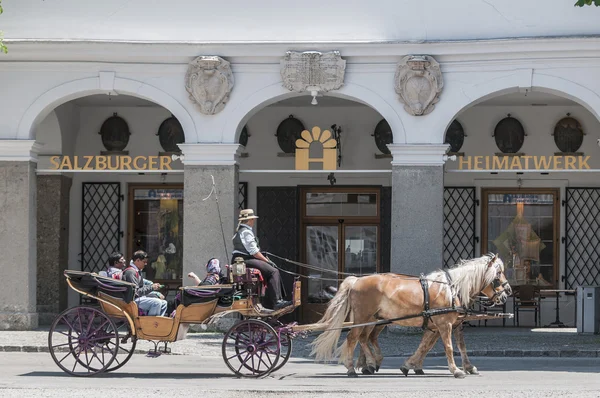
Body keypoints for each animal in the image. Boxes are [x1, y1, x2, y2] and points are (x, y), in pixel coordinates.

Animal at [310, 253, 510, 378]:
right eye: (498, 274)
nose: (507, 291)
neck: (452, 289)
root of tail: (356, 280)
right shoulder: (444, 325)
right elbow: (449, 347)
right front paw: (456, 370)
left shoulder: (439, 326)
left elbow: (428, 346)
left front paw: (410, 365)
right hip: (363, 317)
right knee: (354, 339)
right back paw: (354, 367)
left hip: (373, 319)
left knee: (364, 338)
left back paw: (370, 363)